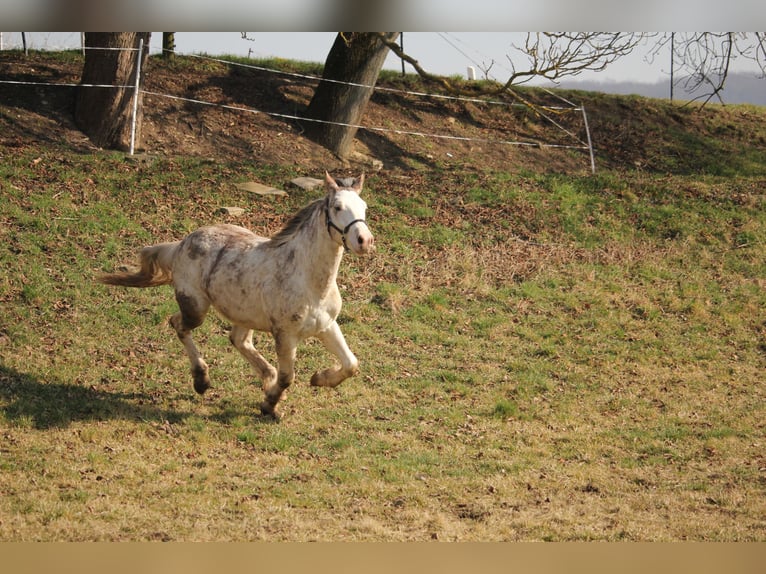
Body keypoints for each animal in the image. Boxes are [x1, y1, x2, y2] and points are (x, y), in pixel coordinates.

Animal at [100, 171, 376, 418]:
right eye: (338, 207)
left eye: (364, 207)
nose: (365, 240)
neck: (310, 282)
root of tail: (182, 243)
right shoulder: (285, 334)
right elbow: (288, 377)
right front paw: (269, 406)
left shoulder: (327, 325)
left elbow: (351, 364)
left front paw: (318, 379)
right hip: (196, 307)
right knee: (178, 324)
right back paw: (202, 380)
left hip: (244, 313)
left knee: (237, 339)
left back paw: (265, 377)